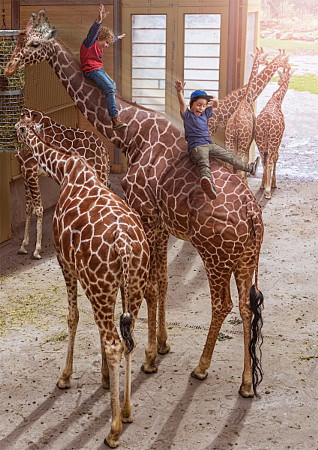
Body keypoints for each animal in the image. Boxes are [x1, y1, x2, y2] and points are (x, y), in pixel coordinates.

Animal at [16, 108, 110, 260]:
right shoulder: (25, 171)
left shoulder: (31, 170)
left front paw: (36, 250)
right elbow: (28, 207)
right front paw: (23, 246)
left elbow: (38, 208)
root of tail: (103, 149)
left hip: (98, 171)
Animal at [224, 48, 268, 184]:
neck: (247, 98)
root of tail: (235, 127)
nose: (266, 61)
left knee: (229, 164)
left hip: (229, 142)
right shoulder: (250, 139)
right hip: (241, 143)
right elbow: (246, 160)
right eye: (263, 57)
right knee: (239, 164)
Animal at [255, 66, 294, 199]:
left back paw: (263, 185)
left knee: (263, 159)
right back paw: (268, 191)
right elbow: (277, 157)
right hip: (273, 140)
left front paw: (264, 184)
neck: (276, 100)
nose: (279, 82)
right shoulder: (279, 139)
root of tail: (267, 124)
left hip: (260, 140)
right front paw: (274, 184)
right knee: (270, 160)